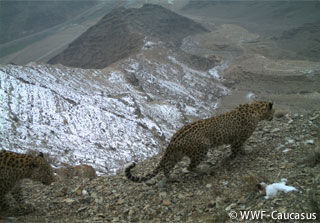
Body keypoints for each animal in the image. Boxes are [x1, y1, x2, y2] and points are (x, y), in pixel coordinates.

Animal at [126, 101, 274, 183]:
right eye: (273, 112)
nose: (272, 117)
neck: (256, 110)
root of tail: (173, 138)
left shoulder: (238, 140)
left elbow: (240, 147)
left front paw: (244, 152)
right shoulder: (238, 139)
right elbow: (235, 151)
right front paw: (228, 160)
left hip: (177, 154)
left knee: (167, 167)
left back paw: (172, 178)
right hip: (202, 148)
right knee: (189, 167)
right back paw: (205, 170)